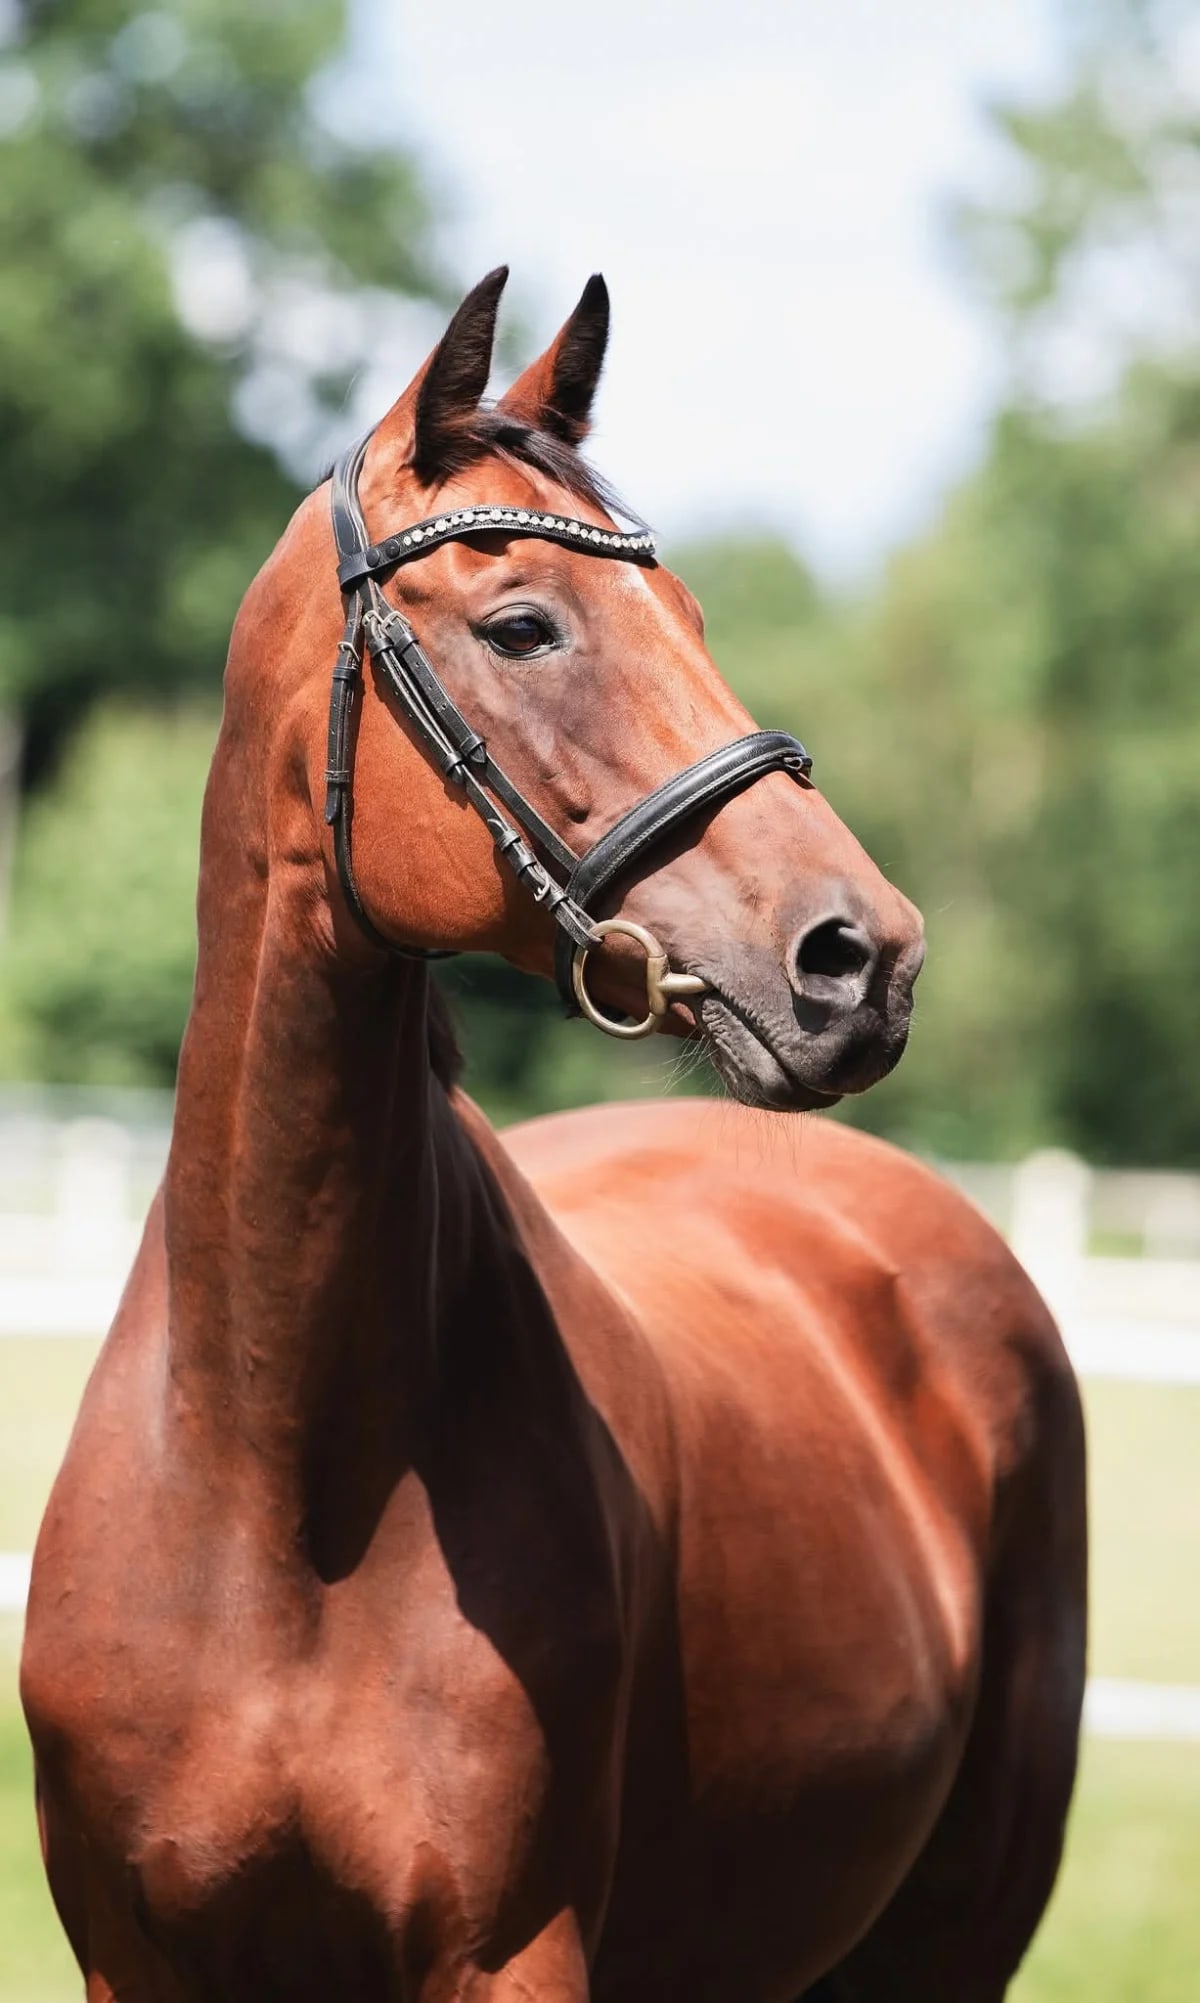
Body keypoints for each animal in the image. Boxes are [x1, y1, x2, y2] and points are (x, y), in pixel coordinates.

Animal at [22, 268, 1086, 2003]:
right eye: (523, 623)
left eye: (698, 620)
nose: (861, 958)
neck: (273, 1491)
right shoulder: (138, 1959)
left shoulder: (510, 1951)